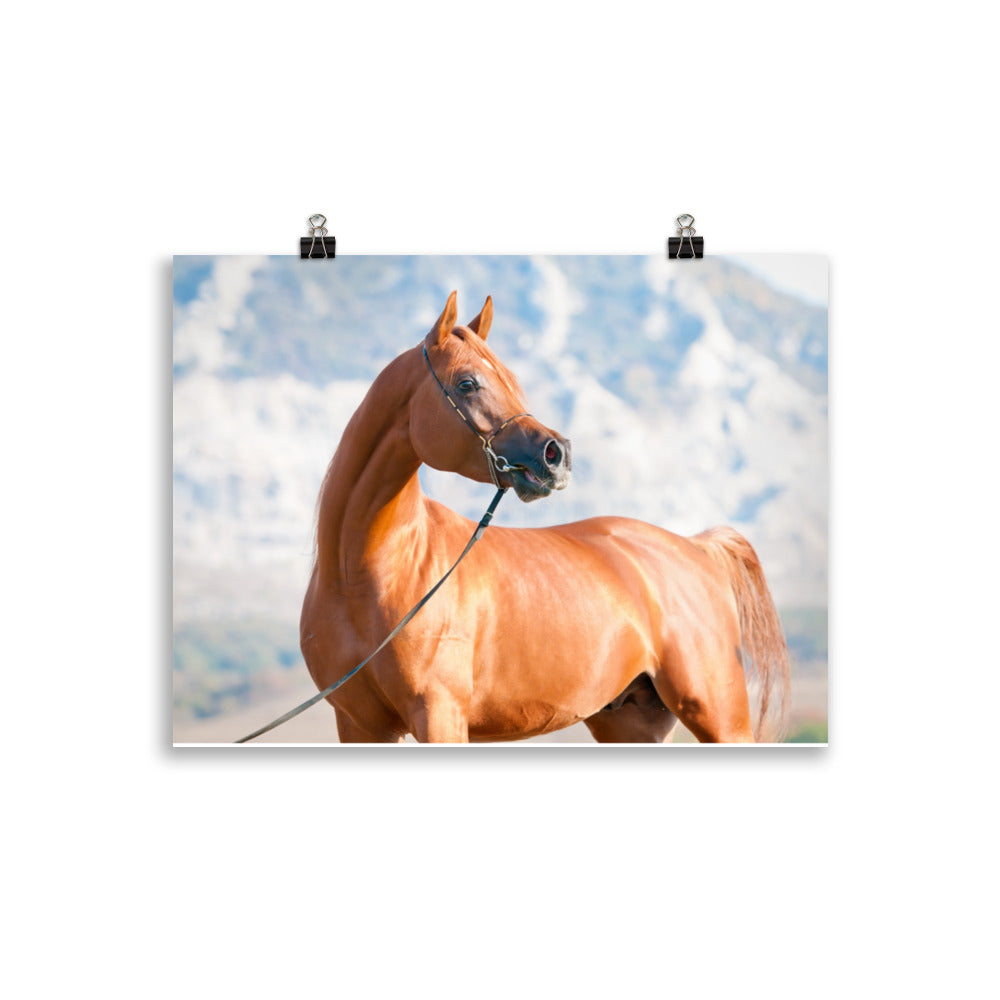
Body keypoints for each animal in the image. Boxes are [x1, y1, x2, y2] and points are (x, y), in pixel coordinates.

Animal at [300, 291, 790, 743]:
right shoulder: (360, 725)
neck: (365, 574)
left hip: (719, 719)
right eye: (467, 383)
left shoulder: (439, 715)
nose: (557, 454)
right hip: (631, 722)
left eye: (511, 380)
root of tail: (696, 547)